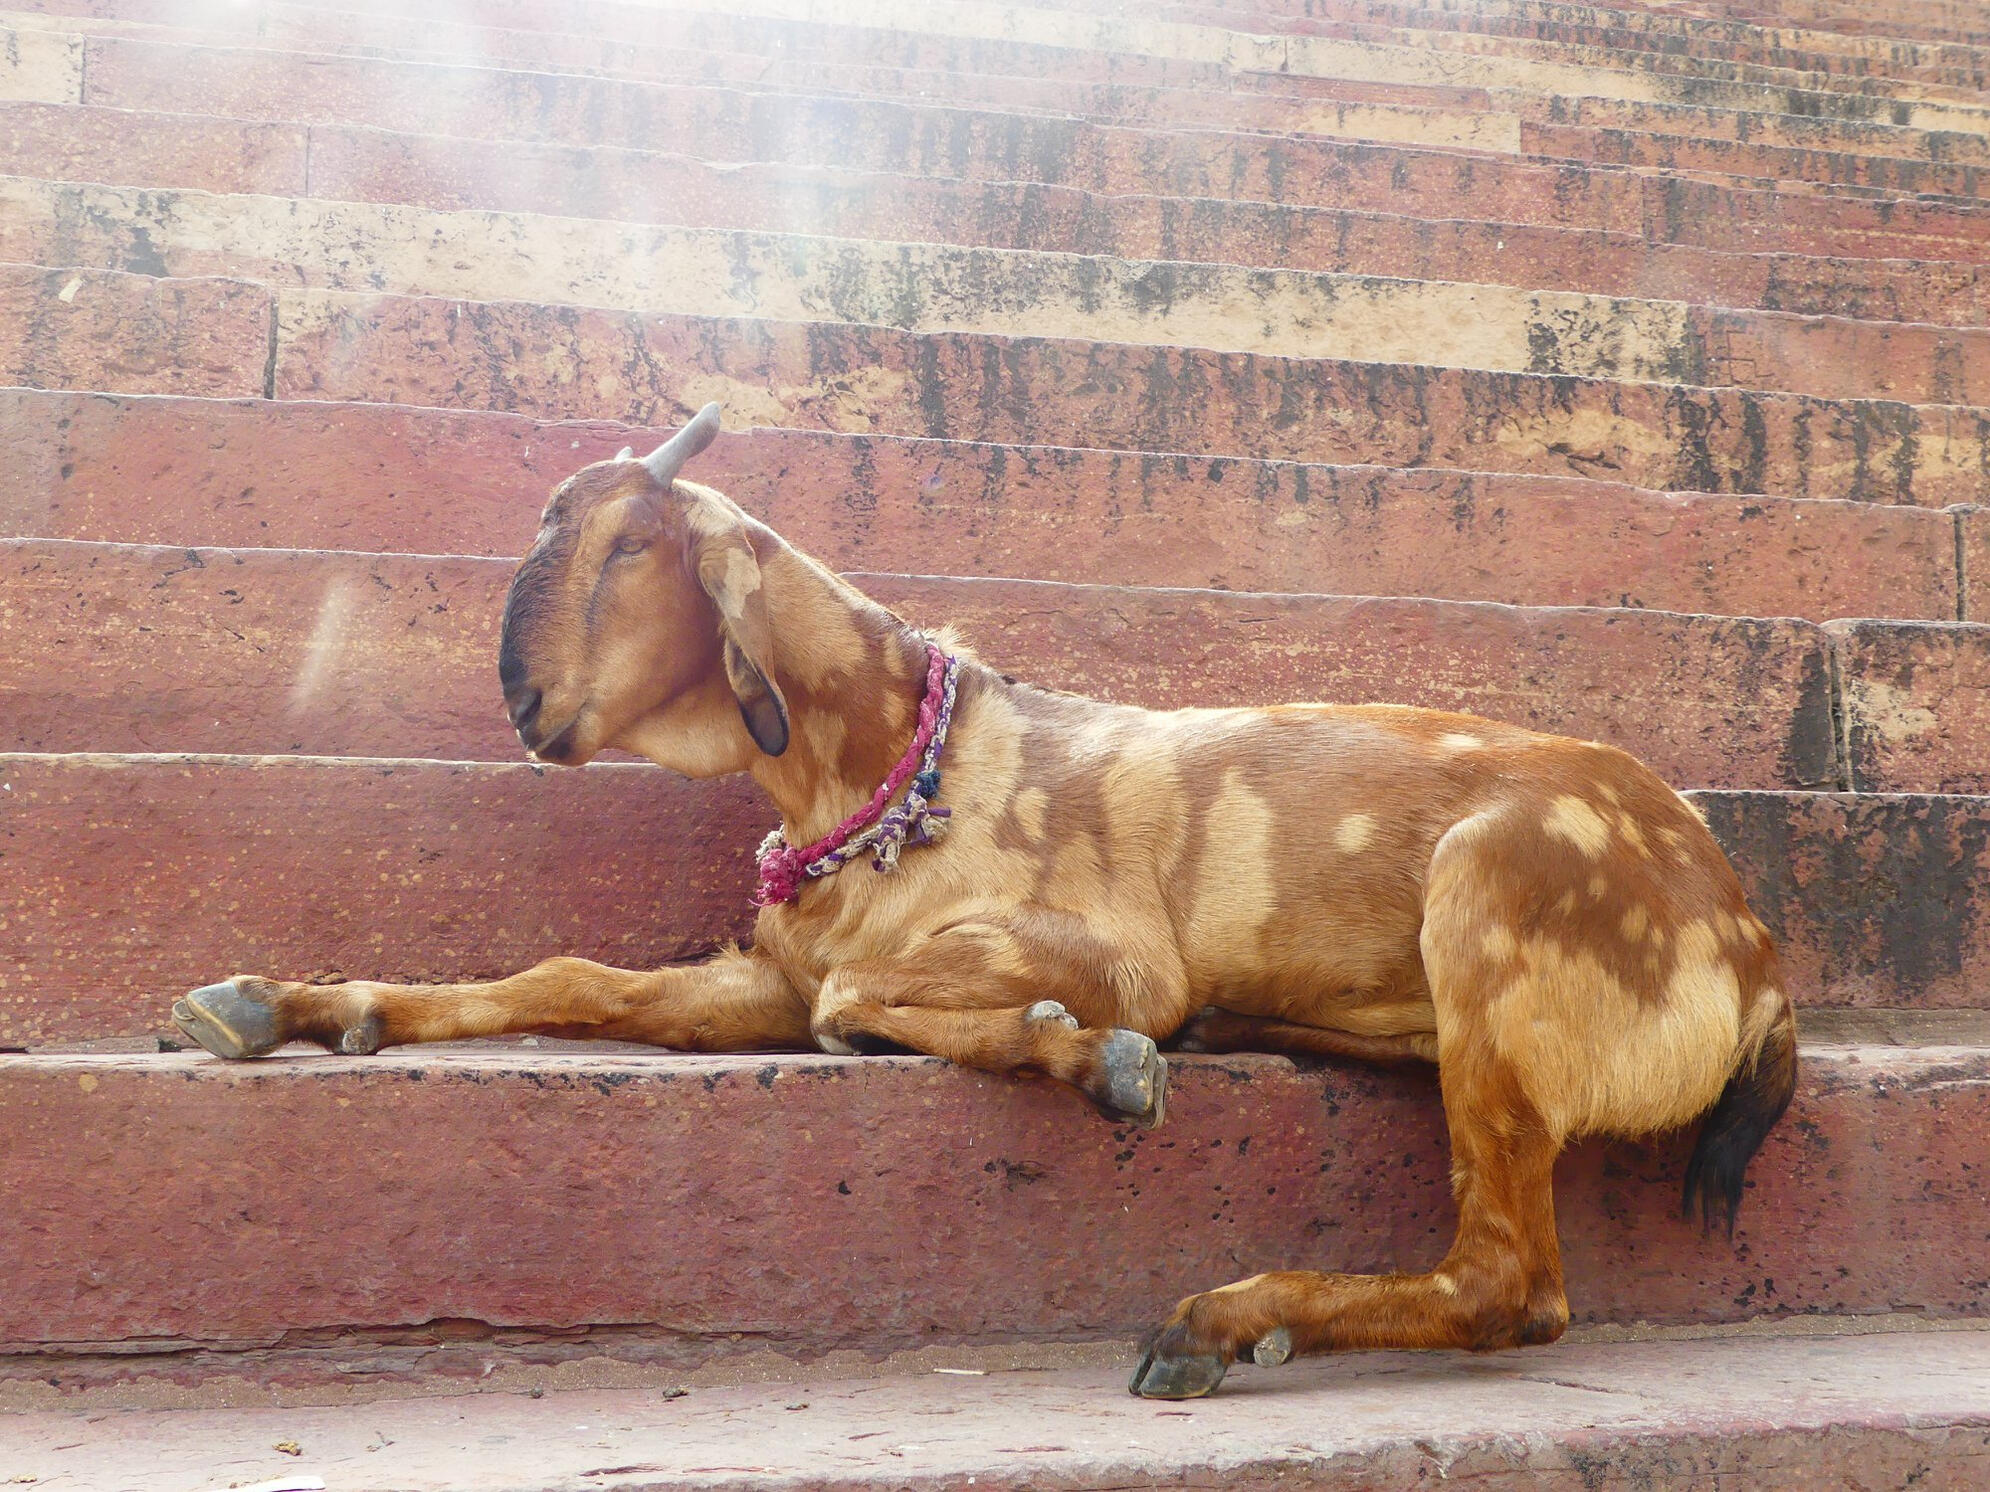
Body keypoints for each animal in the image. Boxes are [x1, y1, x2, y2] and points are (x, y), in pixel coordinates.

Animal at [171, 403, 1799, 1400]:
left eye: (630, 541)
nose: (516, 697)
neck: (894, 762)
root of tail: (1753, 947)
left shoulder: (1115, 960)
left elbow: (871, 1005)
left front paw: (1095, 1060)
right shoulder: (758, 970)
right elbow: (580, 978)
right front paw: (290, 1001)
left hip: (1490, 899)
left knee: (1507, 1279)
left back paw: (1228, 1316)